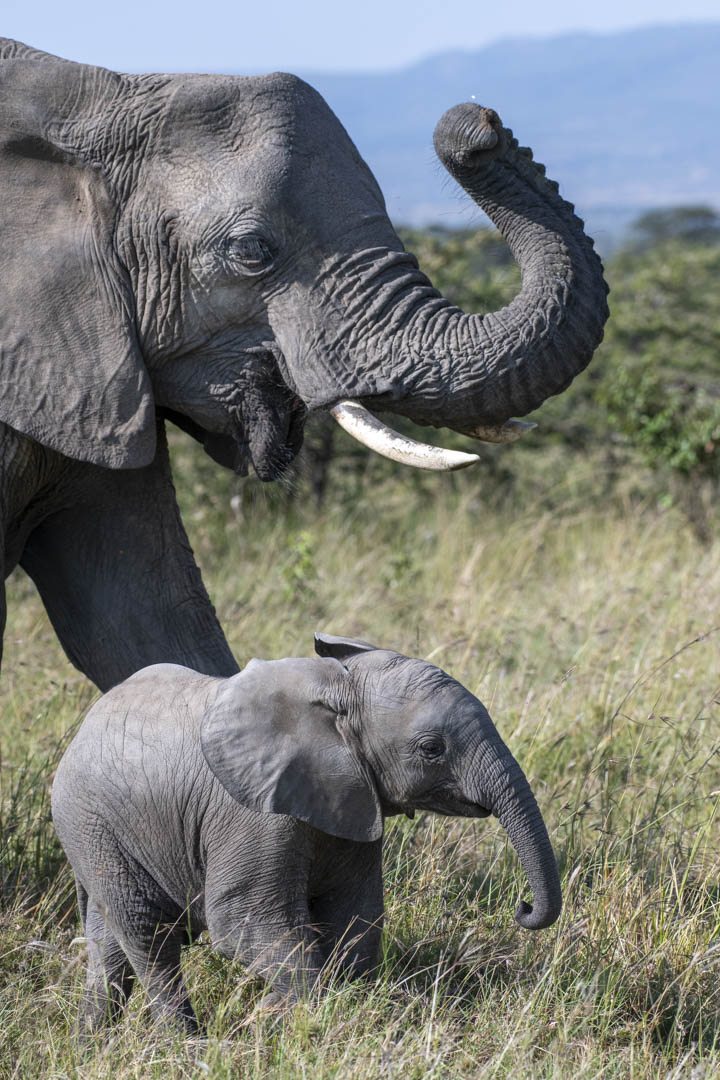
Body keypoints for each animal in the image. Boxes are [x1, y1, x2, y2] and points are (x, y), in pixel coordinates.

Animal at [51, 633, 562, 1037]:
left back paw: (91, 1047)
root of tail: (82, 730)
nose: (522, 907)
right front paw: (299, 1019)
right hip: (92, 826)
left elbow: (356, 916)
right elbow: (245, 922)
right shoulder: (254, 815)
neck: (335, 690)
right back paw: (188, 1049)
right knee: (149, 938)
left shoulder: (353, 802)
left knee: (109, 949)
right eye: (432, 749)